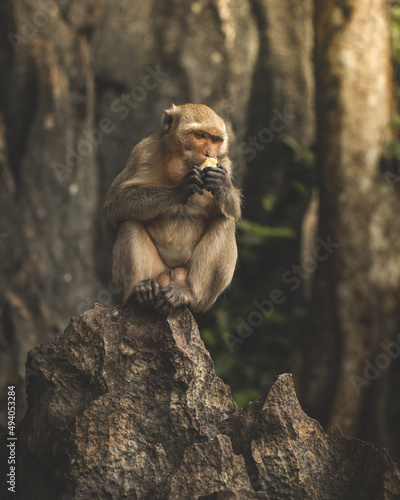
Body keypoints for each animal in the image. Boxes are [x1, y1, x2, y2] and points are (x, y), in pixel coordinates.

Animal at [101, 102, 242, 312]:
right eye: (200, 136)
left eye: (215, 139)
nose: (209, 154)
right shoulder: (144, 152)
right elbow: (115, 206)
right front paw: (181, 189)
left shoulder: (224, 162)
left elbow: (231, 211)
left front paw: (222, 185)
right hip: (155, 272)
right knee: (129, 223)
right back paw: (140, 291)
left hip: (196, 288)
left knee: (225, 222)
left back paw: (189, 294)